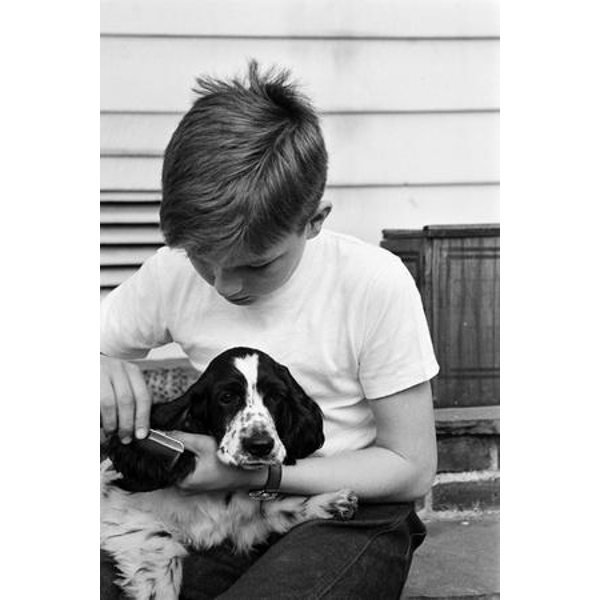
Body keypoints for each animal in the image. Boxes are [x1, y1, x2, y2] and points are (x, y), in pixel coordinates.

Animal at [101, 347, 358, 600]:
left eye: (275, 397)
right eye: (227, 397)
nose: (260, 446)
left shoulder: (244, 526)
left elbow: (276, 510)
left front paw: (332, 503)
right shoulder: (128, 518)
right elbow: (161, 554)